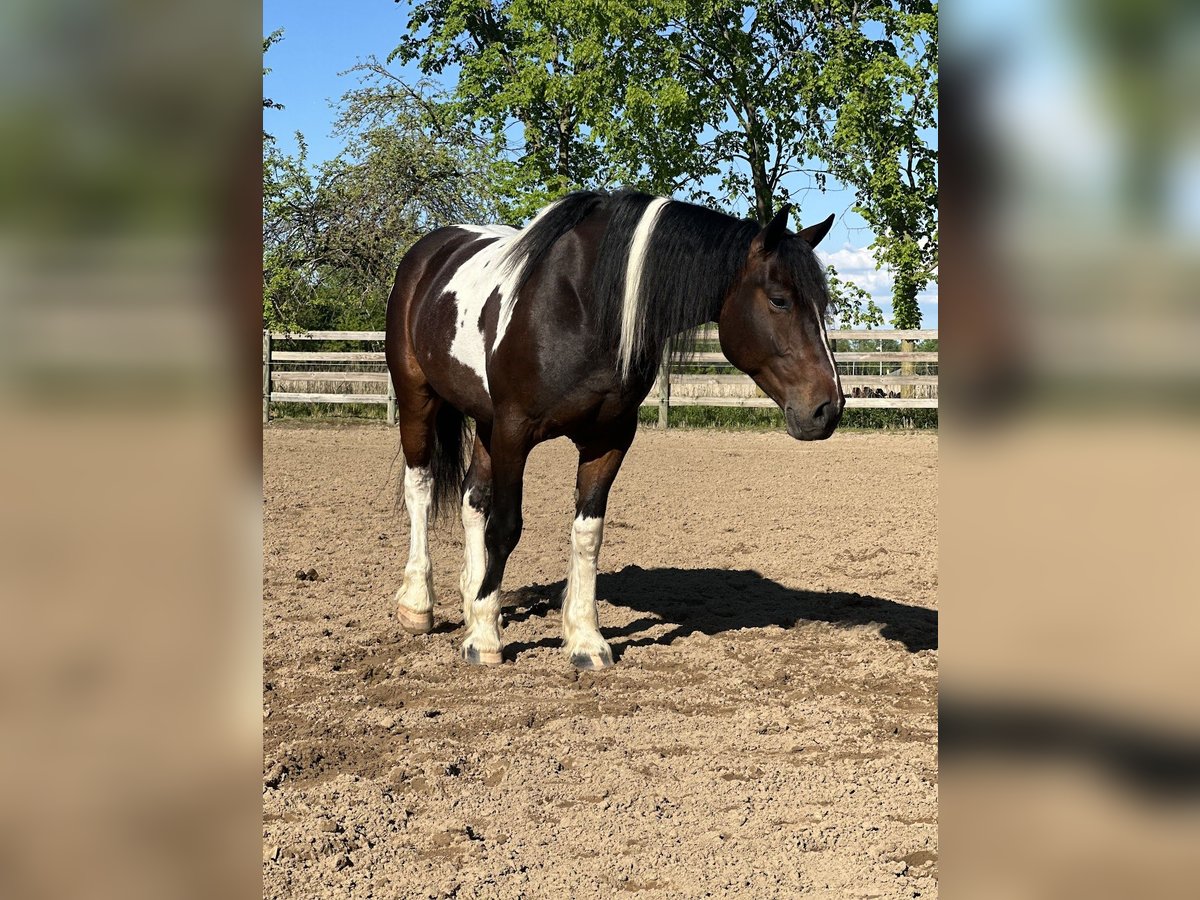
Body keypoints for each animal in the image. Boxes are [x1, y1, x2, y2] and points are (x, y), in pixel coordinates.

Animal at [384, 190, 843, 669]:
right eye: (779, 300)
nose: (827, 409)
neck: (586, 305)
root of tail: (427, 252)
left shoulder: (608, 438)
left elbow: (588, 534)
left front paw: (584, 638)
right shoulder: (514, 431)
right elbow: (505, 528)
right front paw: (485, 639)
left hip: (485, 419)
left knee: (473, 498)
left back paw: (473, 596)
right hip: (418, 398)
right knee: (421, 488)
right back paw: (419, 604)